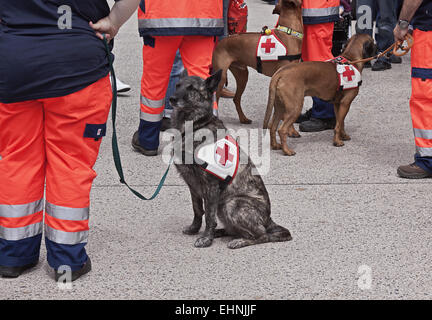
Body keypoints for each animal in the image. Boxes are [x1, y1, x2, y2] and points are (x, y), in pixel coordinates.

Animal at [169, 70, 290, 250]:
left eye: (192, 89)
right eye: (177, 85)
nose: (172, 99)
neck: (196, 125)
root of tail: (268, 219)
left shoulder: (210, 185)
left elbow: (208, 216)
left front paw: (206, 238)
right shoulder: (193, 185)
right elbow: (197, 210)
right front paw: (195, 229)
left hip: (231, 203)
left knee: (262, 235)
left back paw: (239, 240)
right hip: (223, 205)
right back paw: (221, 232)